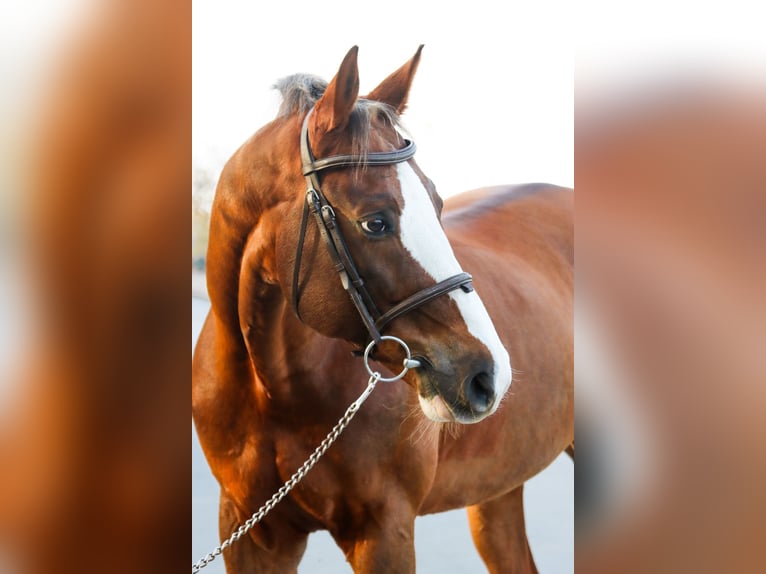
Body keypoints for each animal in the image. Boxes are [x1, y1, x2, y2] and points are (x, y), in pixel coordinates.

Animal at [194, 46, 576, 574]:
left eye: (437, 203)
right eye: (375, 221)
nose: (487, 375)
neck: (271, 387)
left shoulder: (384, 531)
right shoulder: (250, 532)